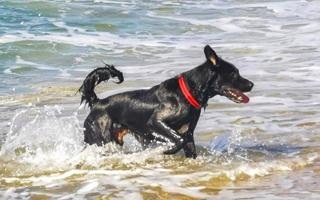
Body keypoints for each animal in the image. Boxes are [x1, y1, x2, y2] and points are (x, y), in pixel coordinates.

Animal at [79, 45, 252, 158]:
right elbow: (179, 139)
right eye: (234, 73)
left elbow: (187, 143)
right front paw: (168, 150)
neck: (187, 92)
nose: (251, 84)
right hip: (98, 138)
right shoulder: (156, 122)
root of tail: (97, 103)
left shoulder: (188, 132)